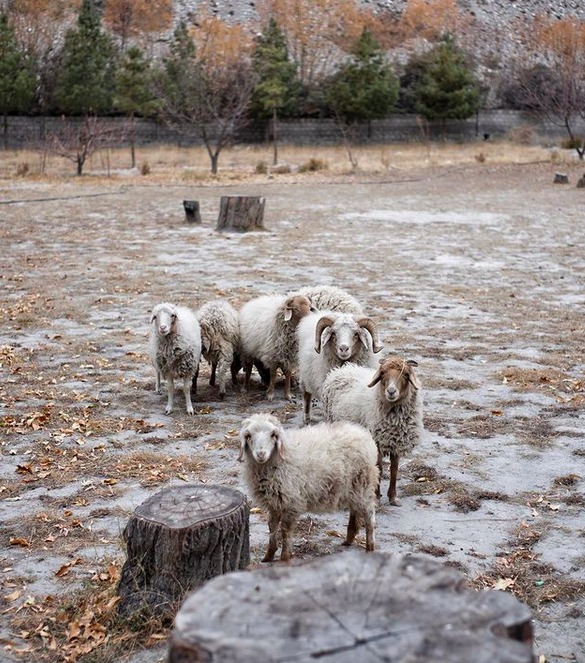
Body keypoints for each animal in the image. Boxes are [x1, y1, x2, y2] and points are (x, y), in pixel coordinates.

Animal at [238, 416, 378, 560]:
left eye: (273, 435)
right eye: (248, 436)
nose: (261, 454)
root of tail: (362, 433)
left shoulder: (291, 502)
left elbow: (285, 531)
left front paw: (285, 557)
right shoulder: (274, 503)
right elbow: (272, 527)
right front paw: (268, 556)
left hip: (364, 484)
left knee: (369, 516)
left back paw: (370, 546)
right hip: (353, 488)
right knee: (355, 510)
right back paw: (349, 539)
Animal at [322, 360, 422, 506]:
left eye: (405, 374)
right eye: (383, 373)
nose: (391, 391)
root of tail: (342, 369)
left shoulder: (396, 442)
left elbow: (394, 469)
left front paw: (393, 498)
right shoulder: (377, 441)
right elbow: (379, 468)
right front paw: (376, 497)